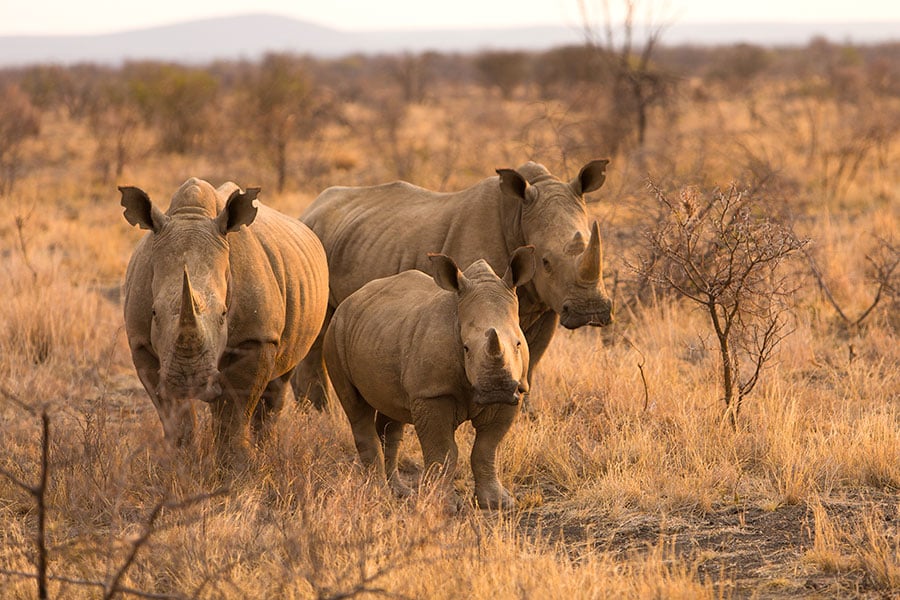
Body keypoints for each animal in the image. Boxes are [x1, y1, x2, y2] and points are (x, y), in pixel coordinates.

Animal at [121, 176, 328, 466]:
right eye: (153, 313)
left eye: (223, 315)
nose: (189, 382)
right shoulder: (141, 344)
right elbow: (174, 415)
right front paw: (179, 464)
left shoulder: (256, 337)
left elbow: (235, 408)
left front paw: (234, 466)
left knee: (279, 382)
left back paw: (267, 451)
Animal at [294, 158, 612, 408]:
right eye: (545, 262)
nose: (592, 311)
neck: (518, 217)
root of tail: (310, 208)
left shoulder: (546, 305)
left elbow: (531, 360)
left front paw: (526, 414)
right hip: (314, 245)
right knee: (318, 330)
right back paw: (318, 411)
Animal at [324, 246, 536, 508]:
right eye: (465, 348)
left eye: (518, 344)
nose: (496, 389)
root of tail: (351, 299)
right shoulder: (431, 393)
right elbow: (443, 450)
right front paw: (445, 505)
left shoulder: (515, 391)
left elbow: (487, 447)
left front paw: (498, 503)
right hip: (336, 333)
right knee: (356, 409)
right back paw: (378, 494)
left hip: (380, 331)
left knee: (392, 417)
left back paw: (400, 492)